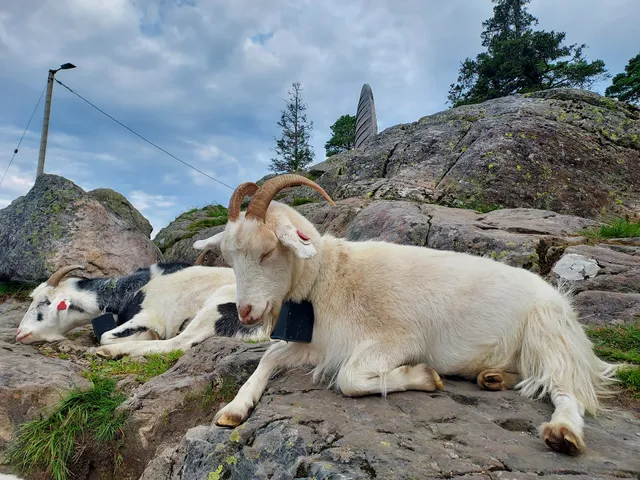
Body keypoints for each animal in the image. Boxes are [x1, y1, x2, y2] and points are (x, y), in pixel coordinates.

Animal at [193, 174, 620, 456]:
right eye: (229, 256)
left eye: (267, 251)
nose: (246, 313)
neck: (330, 276)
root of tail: (559, 299)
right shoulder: (319, 342)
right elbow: (269, 357)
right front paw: (233, 409)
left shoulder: (395, 339)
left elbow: (349, 379)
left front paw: (424, 376)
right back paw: (494, 377)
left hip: (547, 334)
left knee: (565, 388)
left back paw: (562, 431)